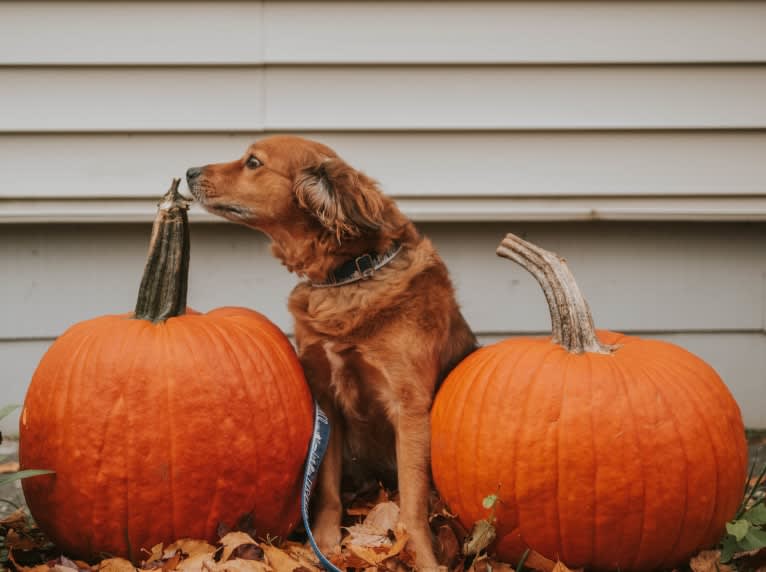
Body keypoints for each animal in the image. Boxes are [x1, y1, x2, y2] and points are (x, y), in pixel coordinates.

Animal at [187, 136, 476, 568]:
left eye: (253, 162)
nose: (189, 172)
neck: (350, 276)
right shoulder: (327, 399)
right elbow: (326, 488)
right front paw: (323, 545)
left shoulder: (408, 408)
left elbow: (411, 503)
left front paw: (424, 559)